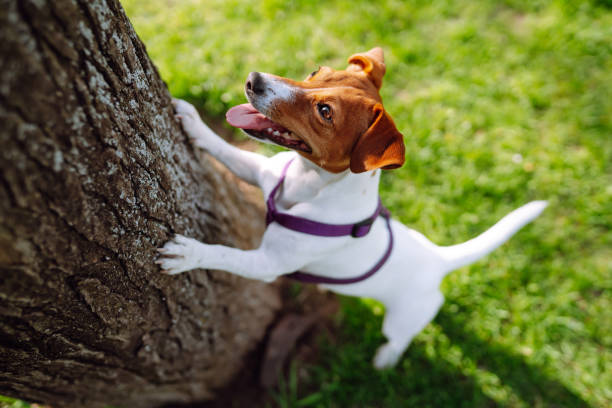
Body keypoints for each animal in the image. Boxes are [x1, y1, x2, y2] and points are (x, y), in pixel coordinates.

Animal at [155, 48, 548, 370]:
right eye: (315, 72)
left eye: (325, 112)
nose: (254, 79)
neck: (309, 183)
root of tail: (439, 258)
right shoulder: (261, 172)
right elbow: (226, 150)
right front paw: (195, 124)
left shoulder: (269, 264)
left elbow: (225, 255)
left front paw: (189, 253)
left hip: (404, 317)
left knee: (399, 338)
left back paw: (385, 360)